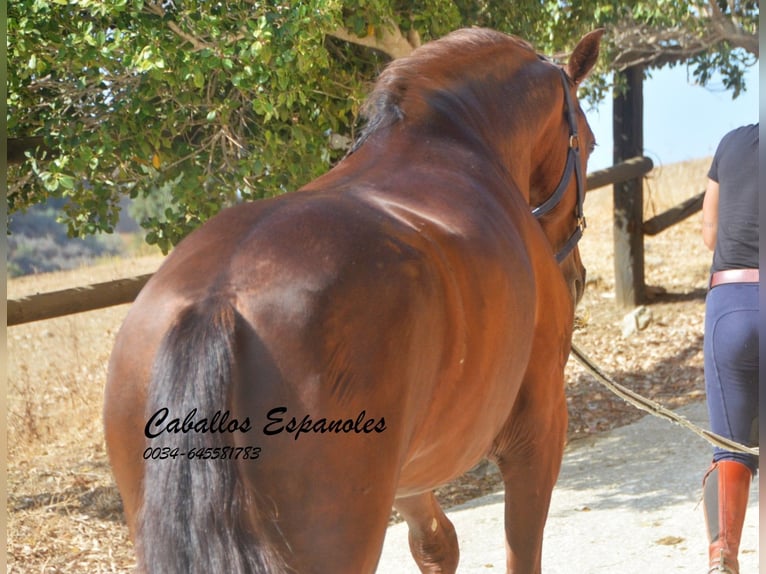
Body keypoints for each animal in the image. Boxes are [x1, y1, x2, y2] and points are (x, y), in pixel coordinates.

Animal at [105, 27, 604, 574]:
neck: (454, 142)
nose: (575, 276)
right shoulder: (537, 435)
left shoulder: (410, 475)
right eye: (590, 142)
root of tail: (216, 298)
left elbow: (436, 545)